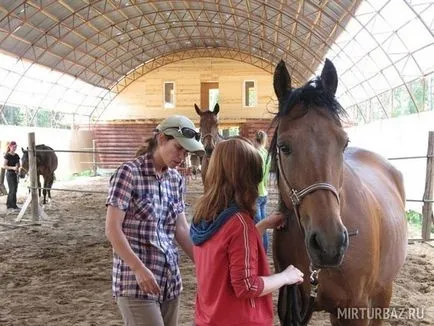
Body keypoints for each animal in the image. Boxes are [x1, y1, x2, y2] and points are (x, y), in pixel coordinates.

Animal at [272, 59, 406, 326]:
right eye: (284, 146)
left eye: (344, 143)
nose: (329, 245)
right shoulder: (292, 307)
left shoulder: (357, 308)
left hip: (382, 291)